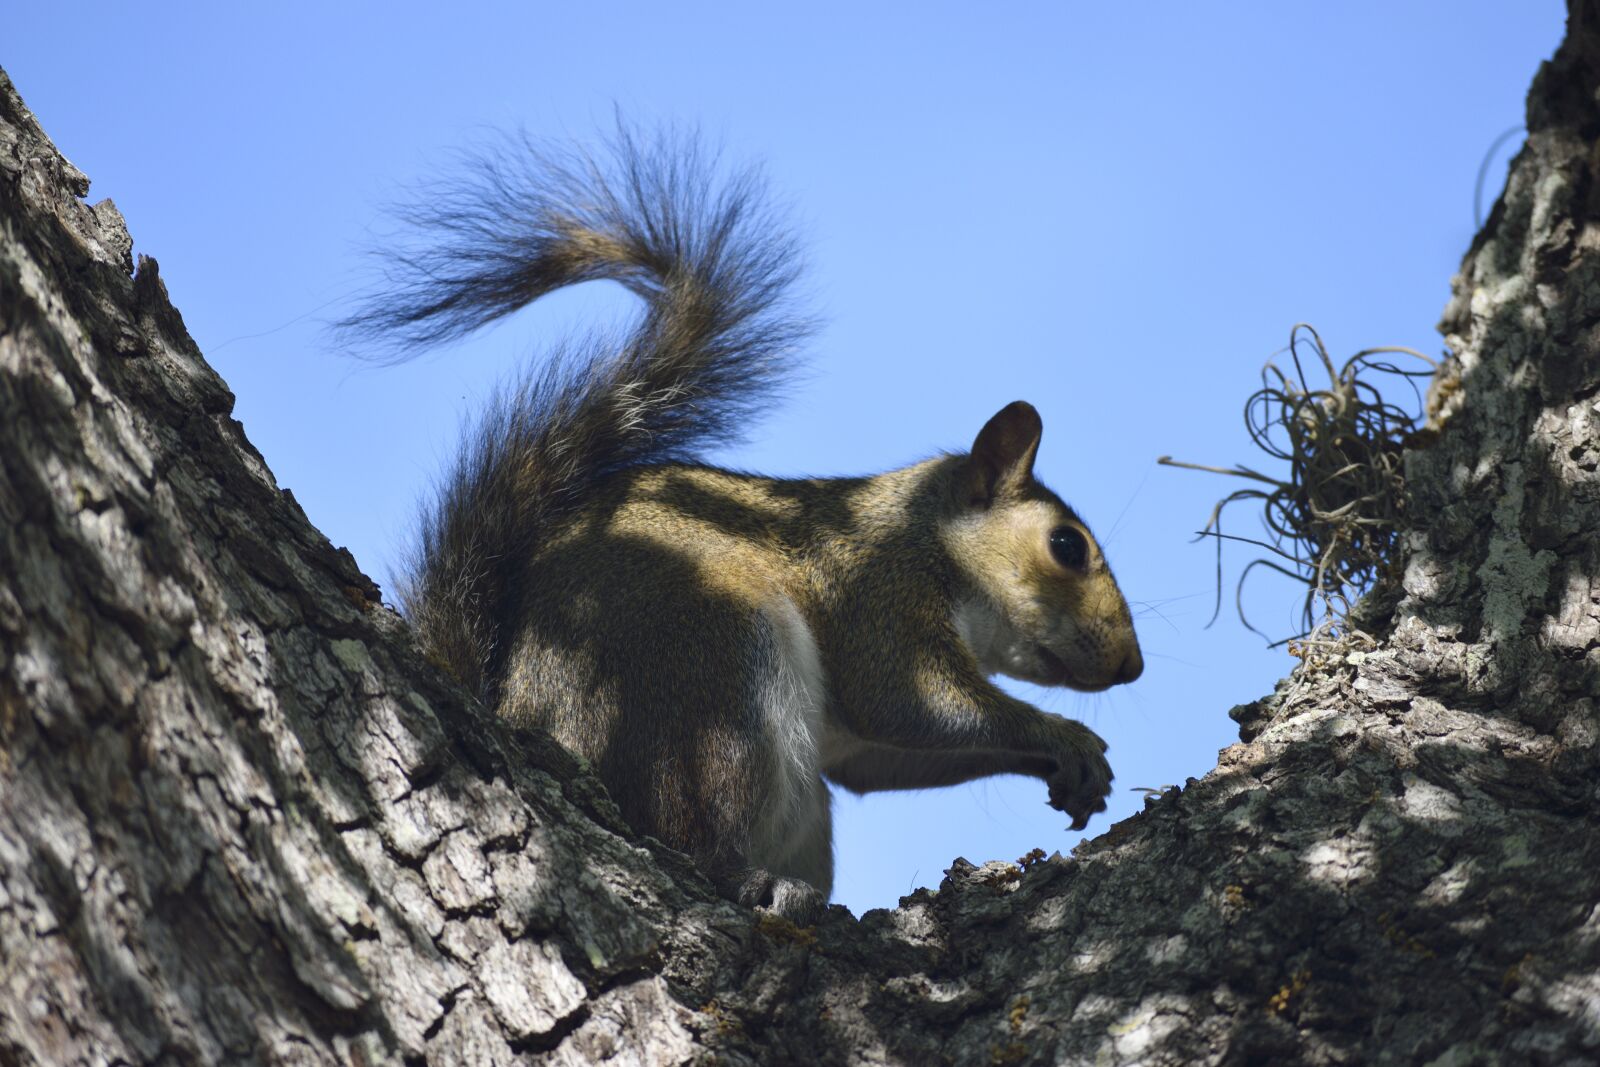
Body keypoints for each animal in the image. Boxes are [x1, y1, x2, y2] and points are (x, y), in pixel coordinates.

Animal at [340, 128, 1144, 921]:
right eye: (1066, 546)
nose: (1131, 668)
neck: (926, 536)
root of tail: (517, 709)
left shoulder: (856, 727)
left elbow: (878, 757)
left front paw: (1068, 769)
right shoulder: (878, 594)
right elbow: (909, 702)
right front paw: (1062, 735)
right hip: (709, 669)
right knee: (694, 833)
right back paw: (748, 879)